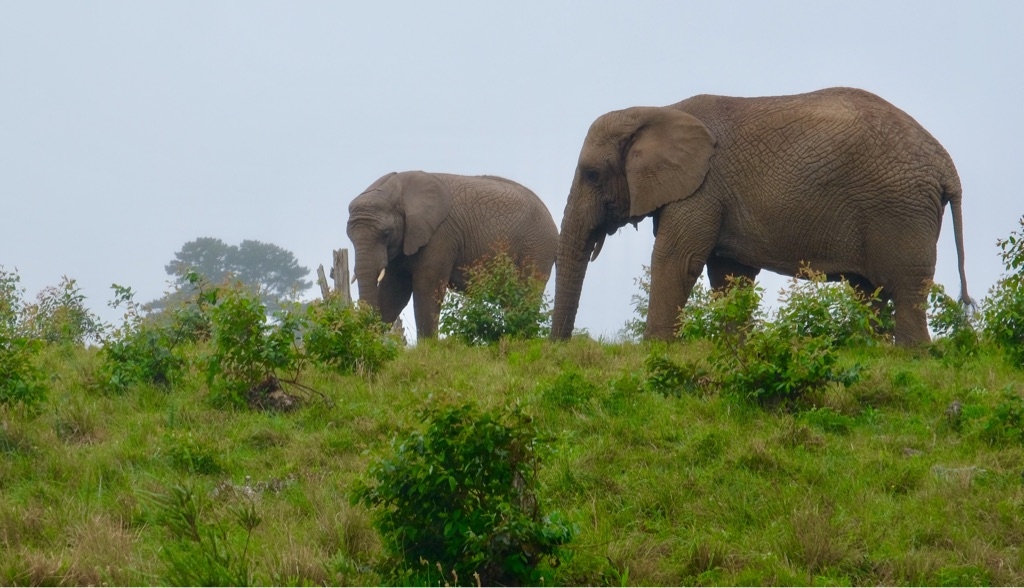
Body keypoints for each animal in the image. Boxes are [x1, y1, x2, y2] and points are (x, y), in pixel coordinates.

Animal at [347, 171, 558, 339]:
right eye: (349, 236)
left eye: (386, 234)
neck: (399, 191)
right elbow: (394, 293)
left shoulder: (440, 235)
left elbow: (427, 288)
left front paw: (428, 348)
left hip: (537, 247)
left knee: (525, 295)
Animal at [551, 87, 971, 345]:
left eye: (592, 174)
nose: (559, 348)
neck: (657, 110)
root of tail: (947, 167)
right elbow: (729, 274)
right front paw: (737, 347)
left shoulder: (703, 188)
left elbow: (677, 260)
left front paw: (656, 349)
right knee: (871, 292)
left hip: (900, 209)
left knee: (905, 288)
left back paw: (911, 355)